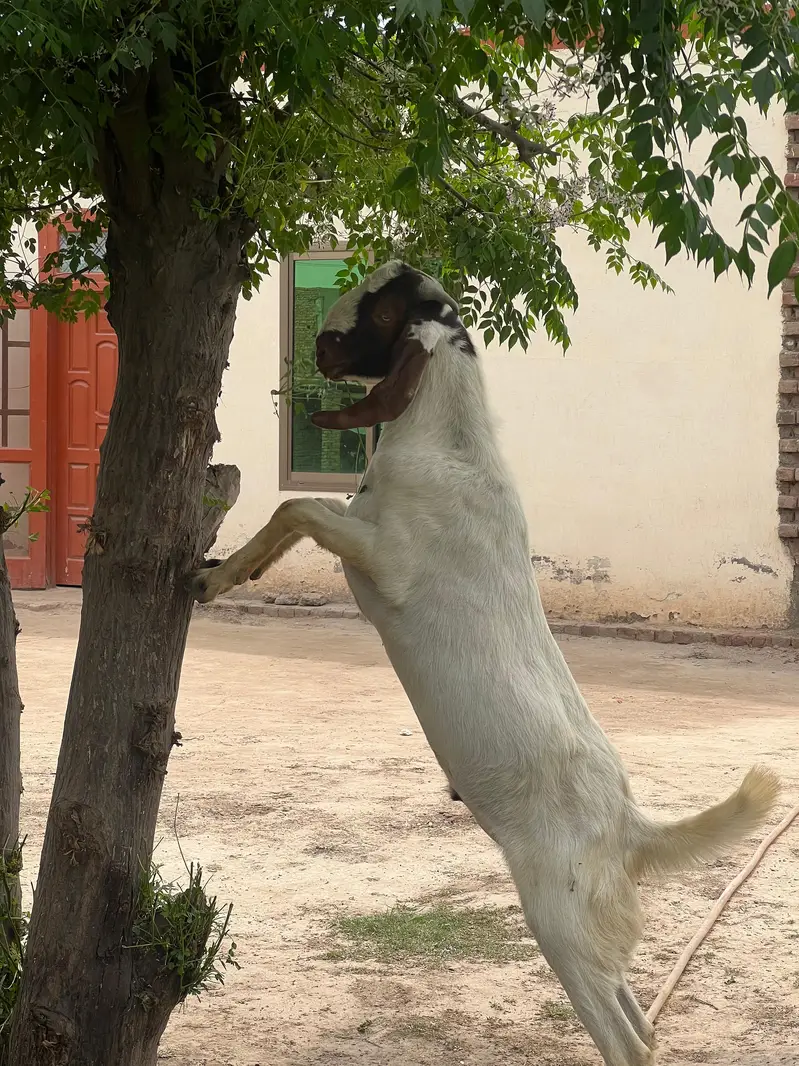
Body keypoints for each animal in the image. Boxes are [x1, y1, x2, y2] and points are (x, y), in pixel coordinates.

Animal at [190, 261, 779, 1066]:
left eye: (384, 313)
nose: (316, 346)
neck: (451, 446)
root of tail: (631, 830)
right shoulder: (360, 530)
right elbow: (296, 518)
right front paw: (228, 574)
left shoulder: (386, 563)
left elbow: (297, 510)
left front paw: (210, 579)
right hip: (595, 932)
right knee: (642, 1019)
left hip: (558, 920)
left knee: (626, 1041)